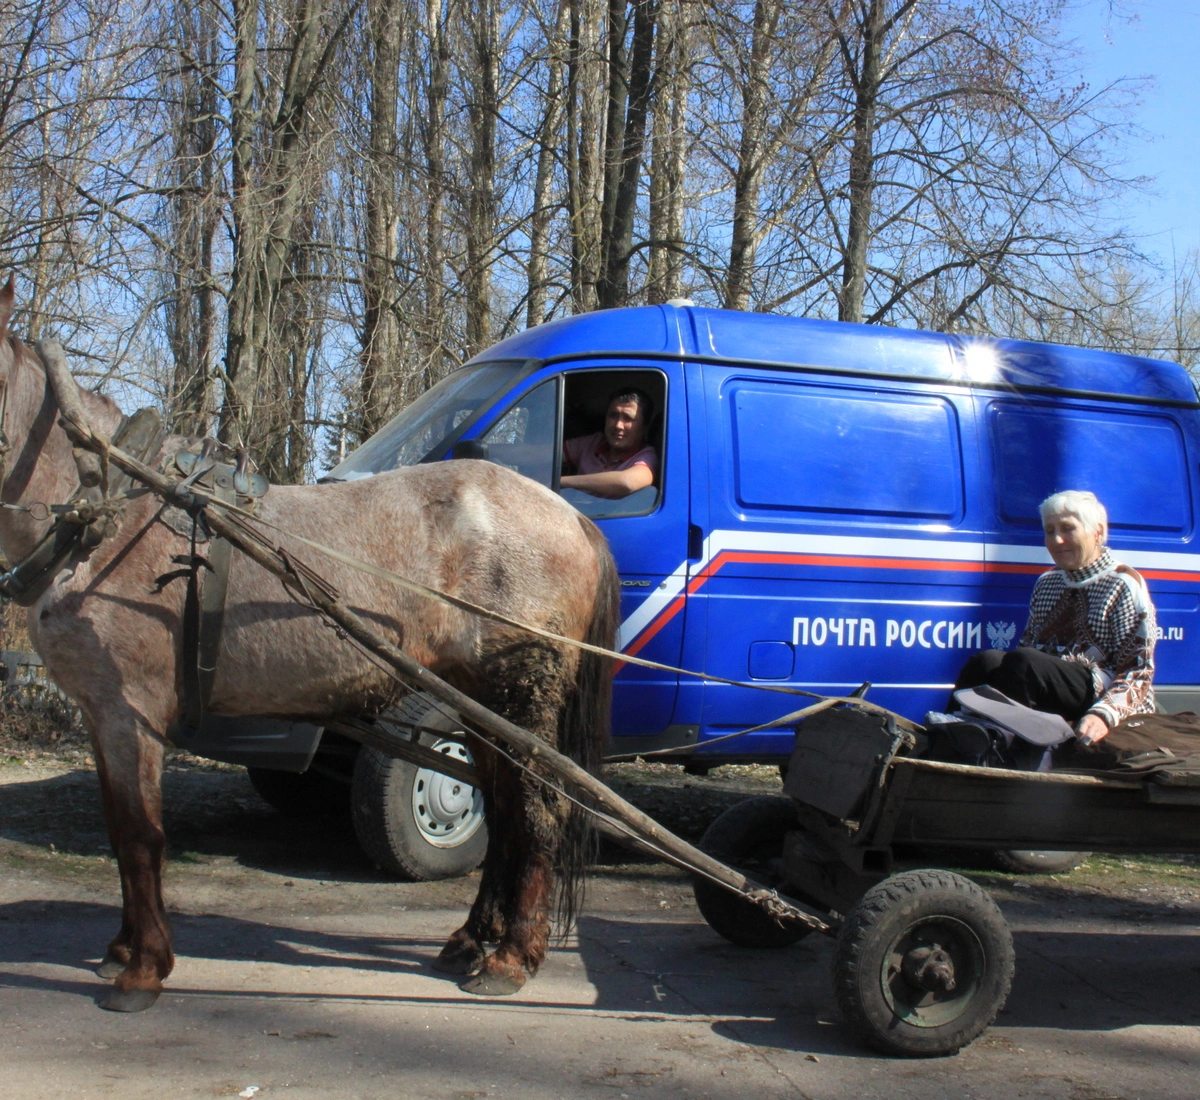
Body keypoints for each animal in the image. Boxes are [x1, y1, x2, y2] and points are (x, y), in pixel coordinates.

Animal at [0, 283, 619, 1012]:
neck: (114, 513)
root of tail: (569, 516)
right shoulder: (100, 717)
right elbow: (120, 828)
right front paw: (123, 949)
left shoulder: (131, 715)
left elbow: (138, 833)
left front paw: (144, 968)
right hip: (479, 702)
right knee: (502, 811)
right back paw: (473, 940)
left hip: (522, 698)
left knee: (537, 812)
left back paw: (513, 957)